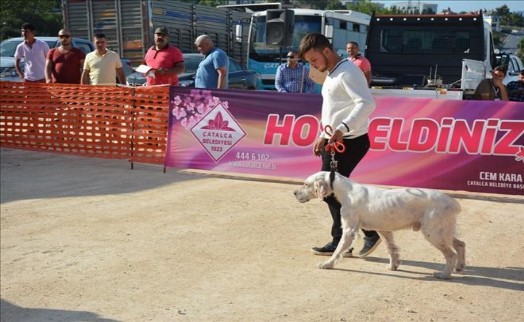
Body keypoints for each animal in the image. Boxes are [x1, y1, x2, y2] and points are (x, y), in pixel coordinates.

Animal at [294, 171, 466, 280]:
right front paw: (393, 266)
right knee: (460, 244)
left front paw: (327, 264)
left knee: (451, 254)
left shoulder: (349, 230)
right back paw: (460, 266)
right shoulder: (384, 230)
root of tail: (452, 202)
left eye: (306, 184)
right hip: (443, 231)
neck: (347, 191)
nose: (294, 193)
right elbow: (392, 249)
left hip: (433, 232)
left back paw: (444, 274)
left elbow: (338, 251)